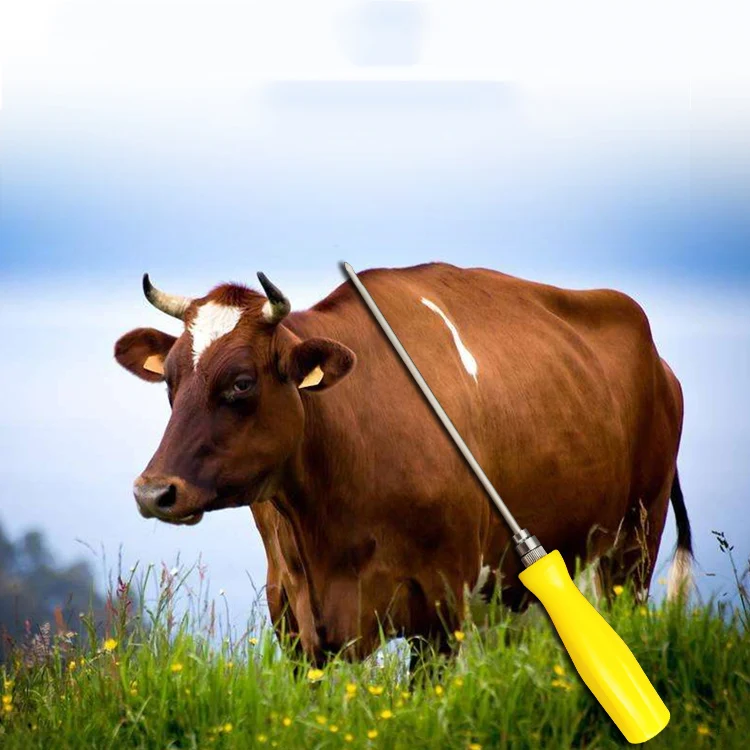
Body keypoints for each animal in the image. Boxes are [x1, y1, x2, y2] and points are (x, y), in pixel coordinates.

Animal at [114, 262, 693, 662]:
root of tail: (661, 363)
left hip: (633, 548)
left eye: (241, 382)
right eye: (169, 379)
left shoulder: (441, 608)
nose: (152, 492)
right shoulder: (293, 618)